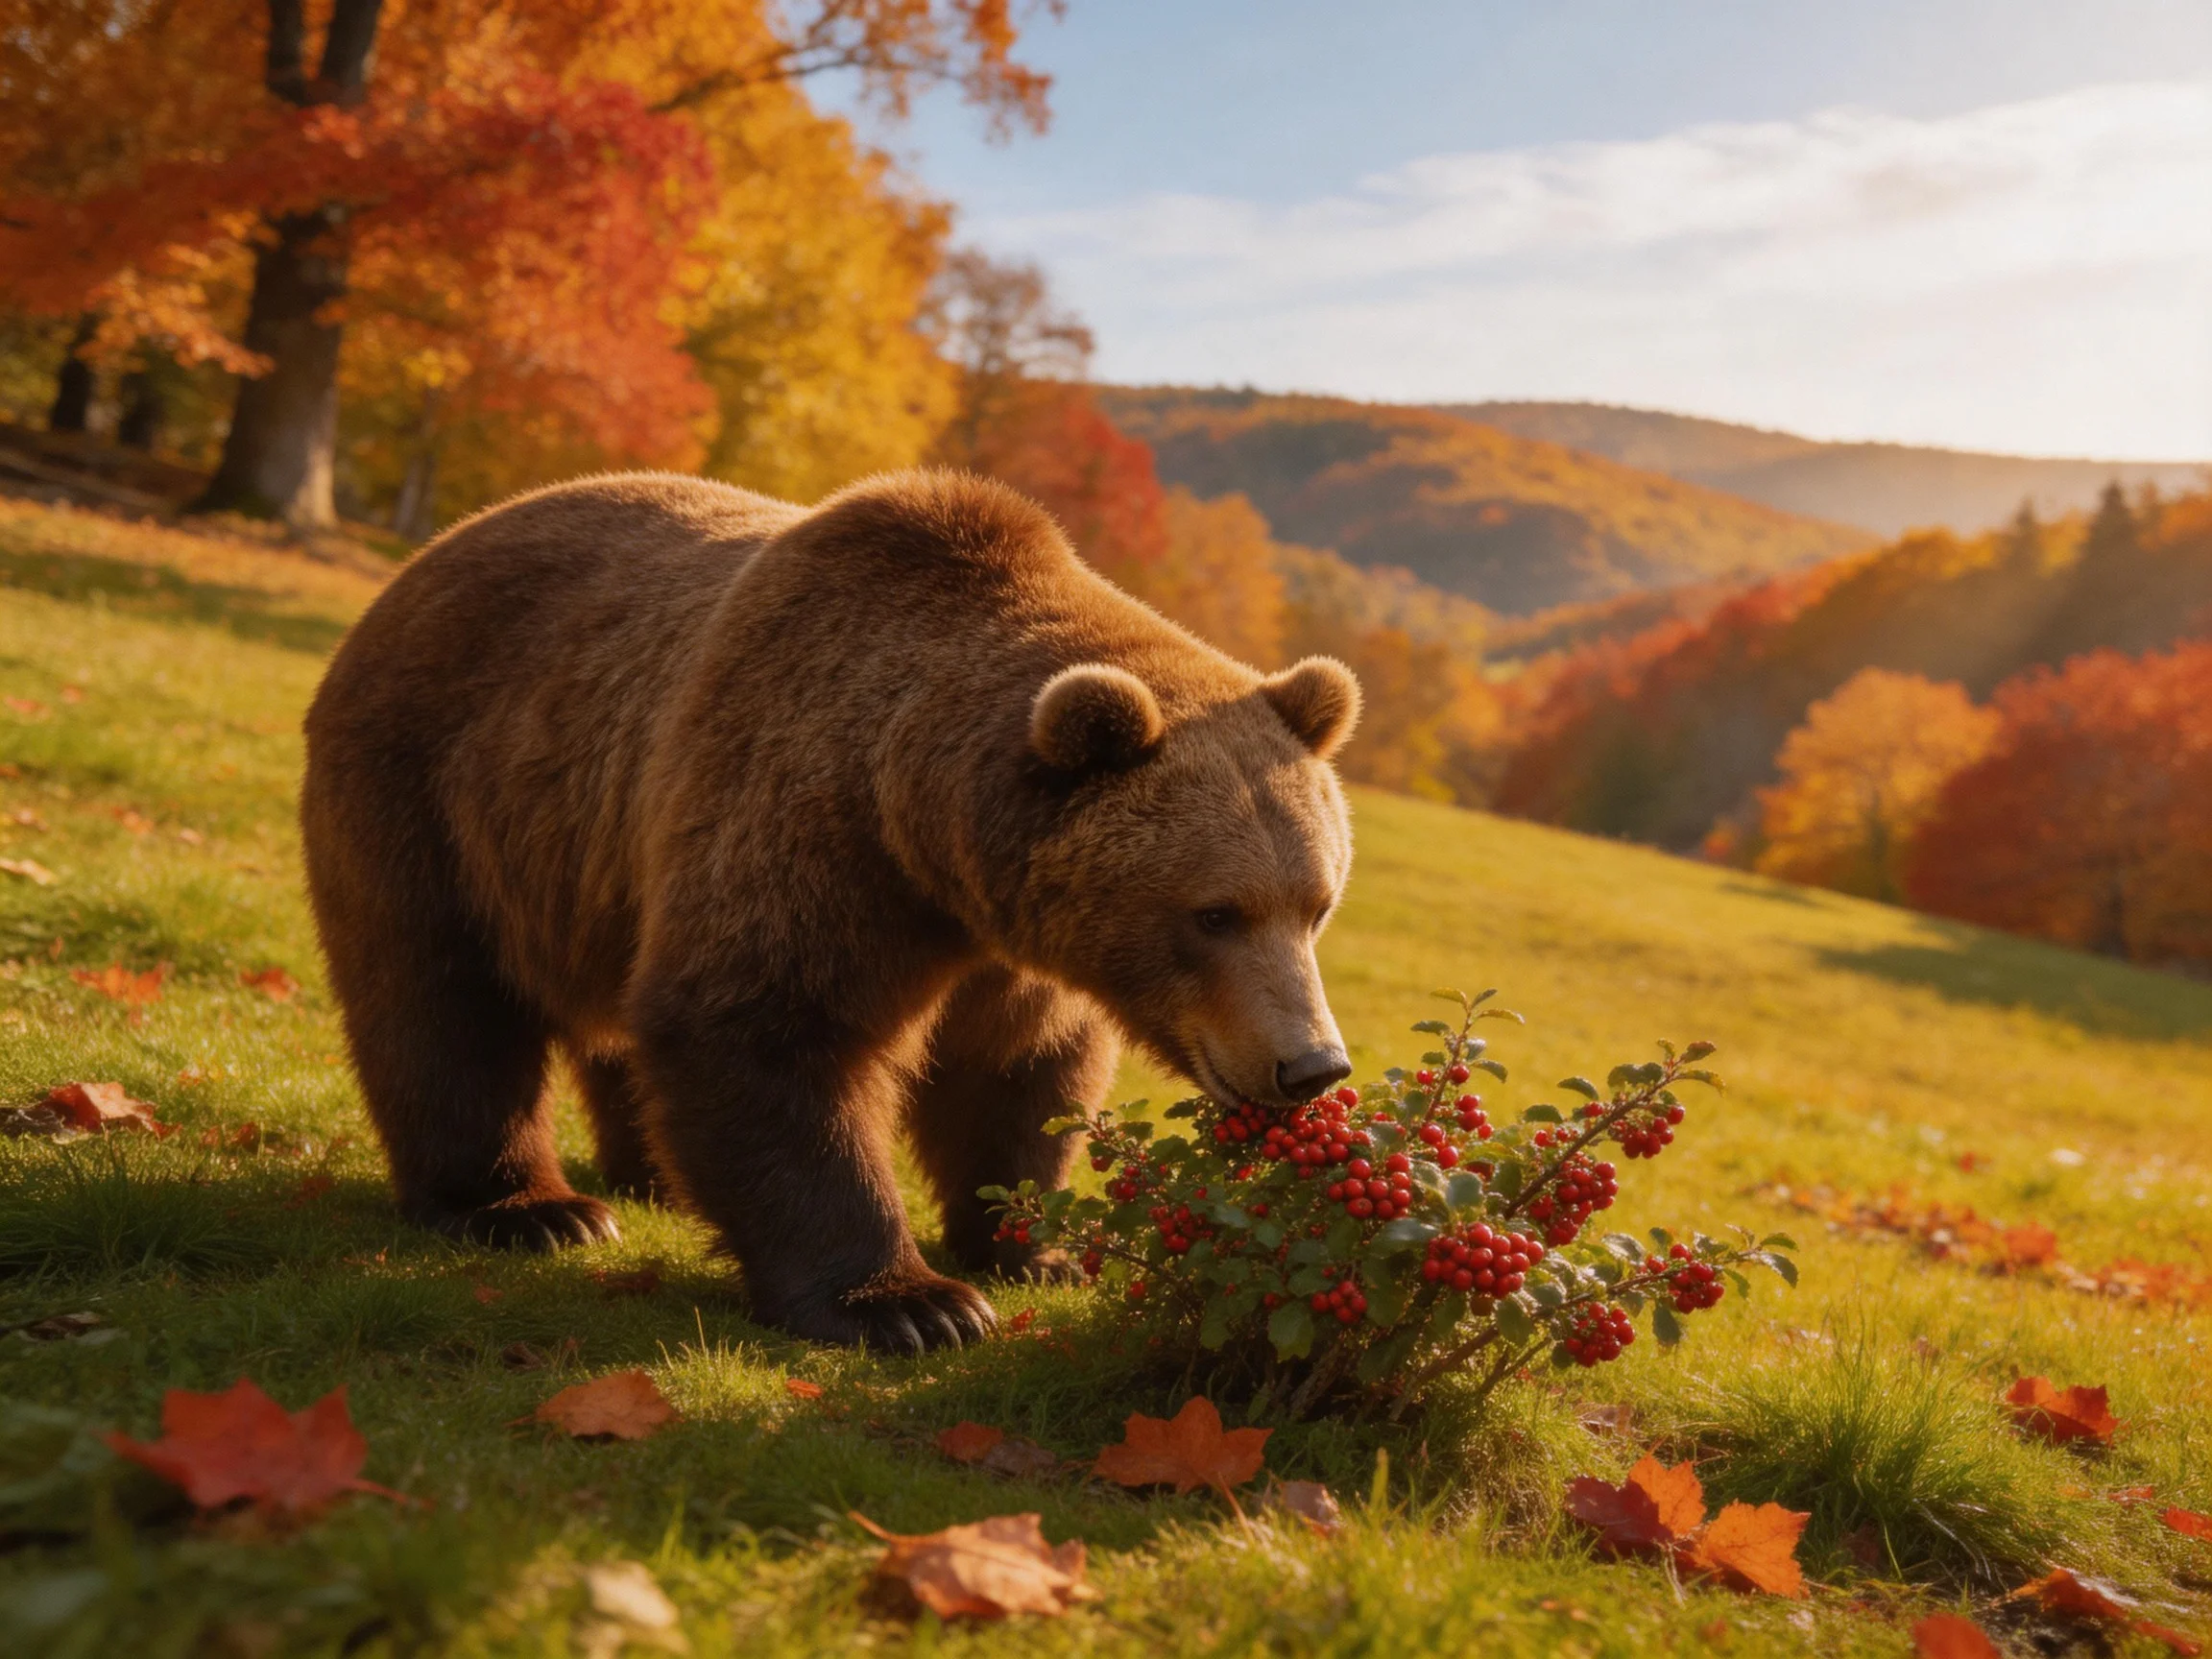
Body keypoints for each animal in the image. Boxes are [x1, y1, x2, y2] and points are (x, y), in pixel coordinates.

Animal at [301, 469, 1361, 1352]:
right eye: (1214, 914)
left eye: (1315, 907)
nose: (1311, 1064)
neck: (932, 844)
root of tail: (429, 554)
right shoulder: (815, 830)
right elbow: (769, 1031)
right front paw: (911, 1305)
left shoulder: (1011, 943)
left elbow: (1020, 1069)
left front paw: (1038, 1249)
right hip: (436, 787)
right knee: (442, 998)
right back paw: (529, 1209)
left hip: (592, 869)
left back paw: (645, 1177)